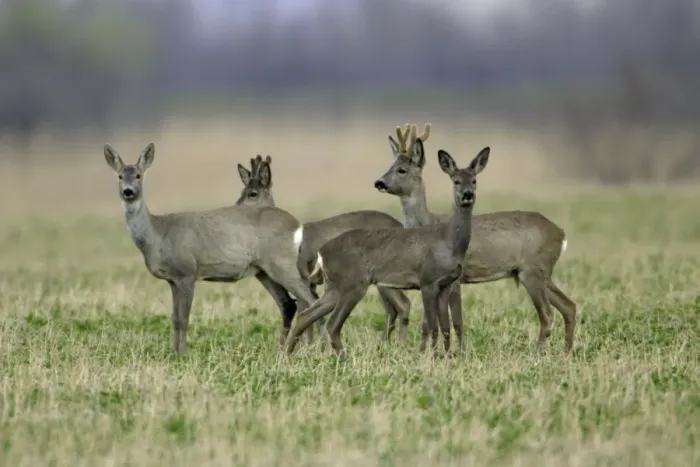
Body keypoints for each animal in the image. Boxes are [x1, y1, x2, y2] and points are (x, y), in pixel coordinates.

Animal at [102, 143, 319, 355]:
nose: (128, 191)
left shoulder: (187, 272)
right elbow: (174, 318)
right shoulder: (172, 280)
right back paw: (286, 351)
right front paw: (174, 354)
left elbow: (183, 318)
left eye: (139, 175)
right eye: (120, 176)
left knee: (309, 300)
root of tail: (297, 224)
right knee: (290, 304)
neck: (158, 234)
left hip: (282, 263)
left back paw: (312, 350)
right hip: (264, 271)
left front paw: (183, 355)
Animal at [235, 154, 413, 343]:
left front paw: (307, 346)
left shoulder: (302, 278)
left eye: (252, 193)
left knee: (402, 305)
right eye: (242, 191)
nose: (236, 208)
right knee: (392, 309)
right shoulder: (312, 283)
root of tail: (401, 225)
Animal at [285, 141, 489, 358]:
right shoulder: (427, 281)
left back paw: (288, 355)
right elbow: (433, 325)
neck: (448, 242)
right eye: (456, 181)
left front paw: (448, 357)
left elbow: (445, 326)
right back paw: (343, 358)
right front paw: (432, 357)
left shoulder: (446, 284)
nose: (467, 195)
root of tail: (322, 253)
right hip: (353, 284)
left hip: (334, 287)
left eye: (474, 180)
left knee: (306, 315)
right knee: (332, 325)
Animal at [374, 123, 577, 354]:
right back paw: (566, 353)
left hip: (533, 269)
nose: (379, 182)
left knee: (548, 313)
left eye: (402, 170)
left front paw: (448, 352)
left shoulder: (454, 278)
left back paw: (539, 354)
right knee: (569, 306)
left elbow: (451, 320)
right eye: (390, 165)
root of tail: (561, 233)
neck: (429, 222)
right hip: (539, 272)